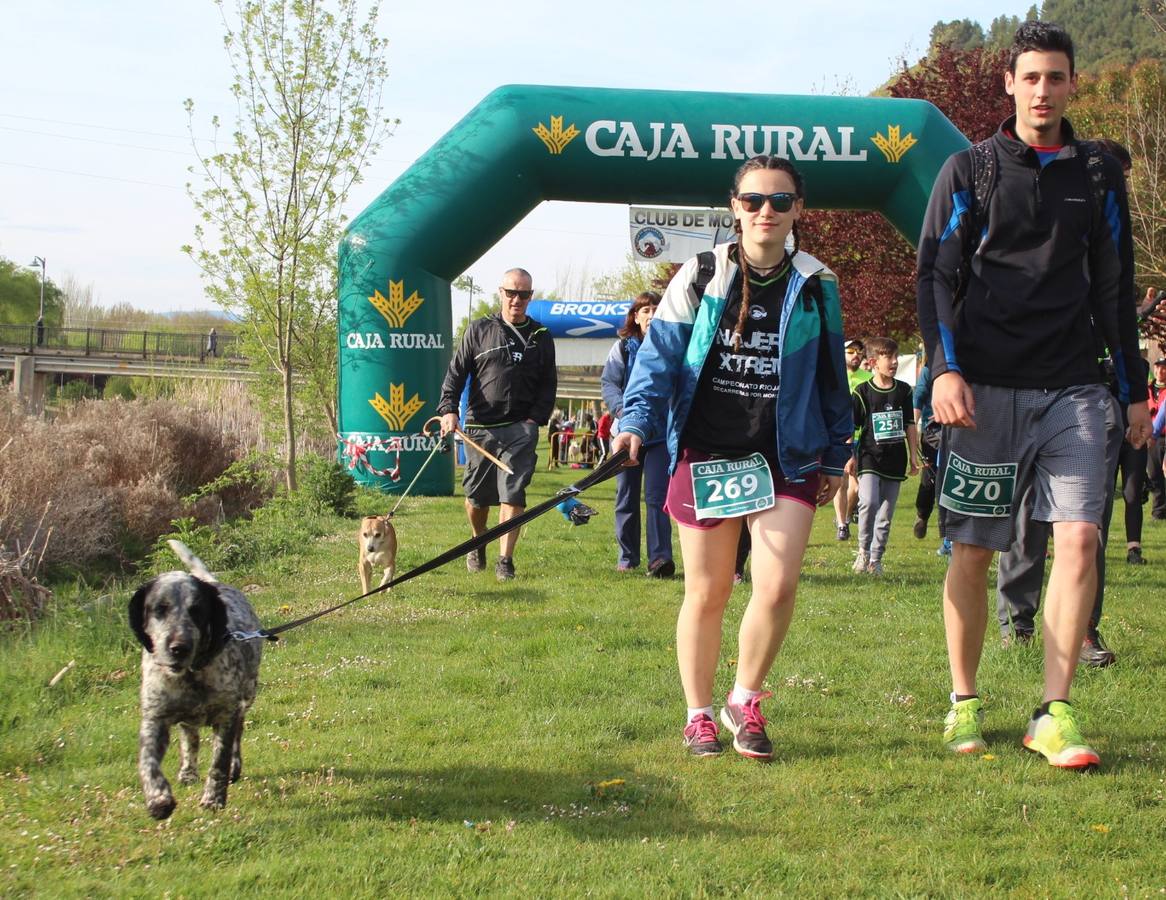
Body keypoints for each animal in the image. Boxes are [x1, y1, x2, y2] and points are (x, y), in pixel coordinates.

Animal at [130, 538, 264, 820]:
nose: (178, 647)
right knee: (189, 738)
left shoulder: (227, 715)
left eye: (197, 611)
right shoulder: (154, 717)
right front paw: (158, 799)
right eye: (159, 609)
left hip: (247, 697)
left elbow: (219, 762)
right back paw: (187, 772)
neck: (190, 675)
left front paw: (213, 799)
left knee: (236, 737)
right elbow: (148, 762)